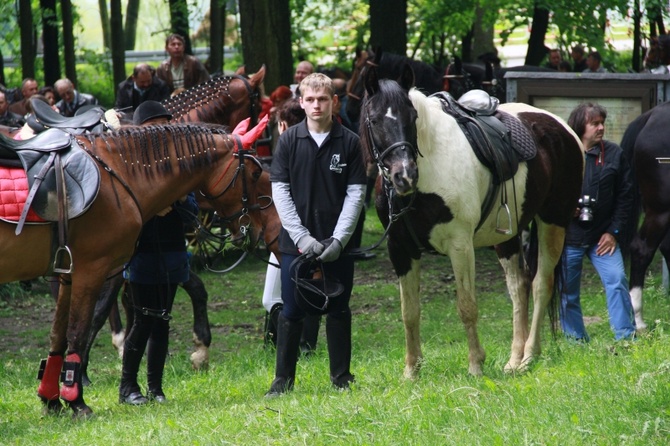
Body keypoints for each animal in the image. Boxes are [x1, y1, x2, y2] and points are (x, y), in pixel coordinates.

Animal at [0, 120, 268, 416]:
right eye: (255, 173)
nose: (257, 230)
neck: (117, 175)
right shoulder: (91, 270)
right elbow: (79, 332)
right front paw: (77, 401)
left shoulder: (68, 274)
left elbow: (58, 335)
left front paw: (51, 399)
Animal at [360, 65, 584, 376]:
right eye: (374, 119)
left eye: (412, 117)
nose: (404, 175)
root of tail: (562, 128)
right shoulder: (400, 249)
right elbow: (410, 311)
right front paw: (412, 370)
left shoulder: (460, 245)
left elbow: (467, 306)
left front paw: (476, 365)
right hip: (508, 236)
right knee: (519, 287)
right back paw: (514, 360)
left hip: (554, 221)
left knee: (541, 284)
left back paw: (529, 356)